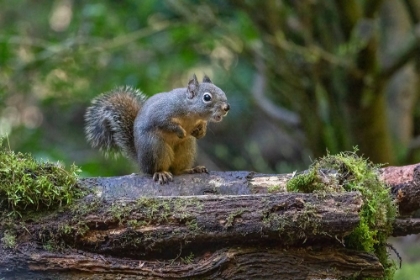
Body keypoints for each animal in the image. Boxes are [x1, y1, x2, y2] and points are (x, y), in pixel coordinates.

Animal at [84, 74, 230, 184]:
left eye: (222, 91)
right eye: (207, 97)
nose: (226, 107)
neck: (191, 113)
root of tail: (141, 161)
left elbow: (201, 126)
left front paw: (201, 132)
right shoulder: (161, 112)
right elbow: (165, 123)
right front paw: (180, 131)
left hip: (186, 148)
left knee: (177, 170)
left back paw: (191, 170)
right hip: (155, 147)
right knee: (154, 169)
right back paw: (161, 173)